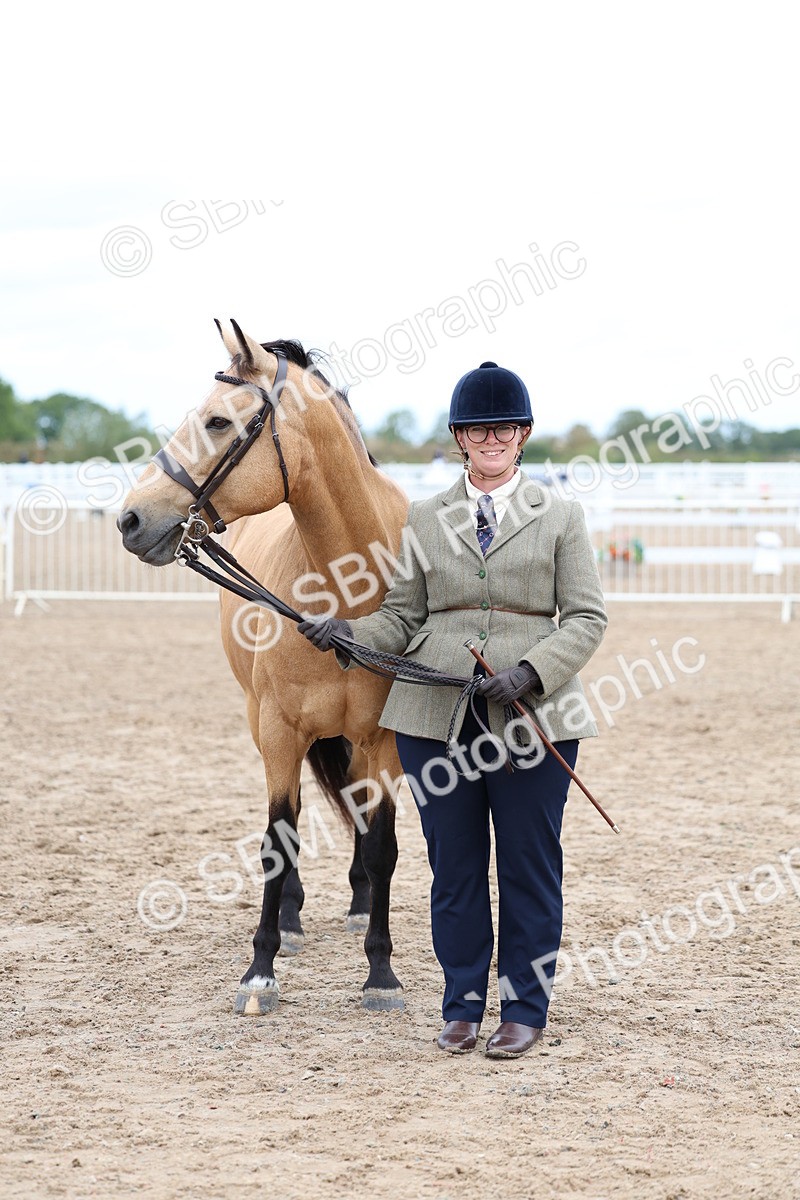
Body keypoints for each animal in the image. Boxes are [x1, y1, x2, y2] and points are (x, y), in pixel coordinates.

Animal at [117, 319, 410, 1015]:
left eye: (219, 421)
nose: (131, 519)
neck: (350, 589)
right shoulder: (279, 730)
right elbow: (279, 840)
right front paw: (260, 970)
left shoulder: (384, 742)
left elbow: (381, 844)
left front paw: (380, 973)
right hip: (263, 723)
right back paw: (294, 919)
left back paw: (357, 906)